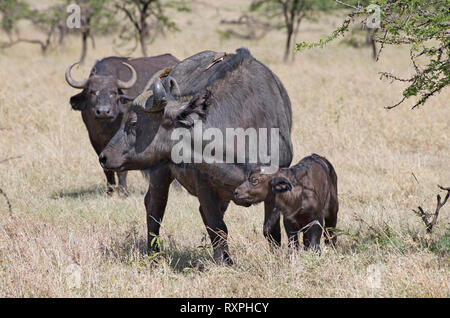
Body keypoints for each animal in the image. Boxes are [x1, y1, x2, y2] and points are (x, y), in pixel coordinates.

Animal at [66, 54, 178, 194]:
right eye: (92, 92)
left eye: (113, 92)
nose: (103, 111)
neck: (106, 126)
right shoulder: (94, 140)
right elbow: (105, 166)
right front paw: (110, 190)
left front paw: (123, 191)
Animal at [99, 49, 292, 264]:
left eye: (132, 123)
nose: (103, 157)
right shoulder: (204, 185)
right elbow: (217, 227)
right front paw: (224, 262)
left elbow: (270, 229)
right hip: (160, 172)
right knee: (154, 206)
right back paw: (154, 253)